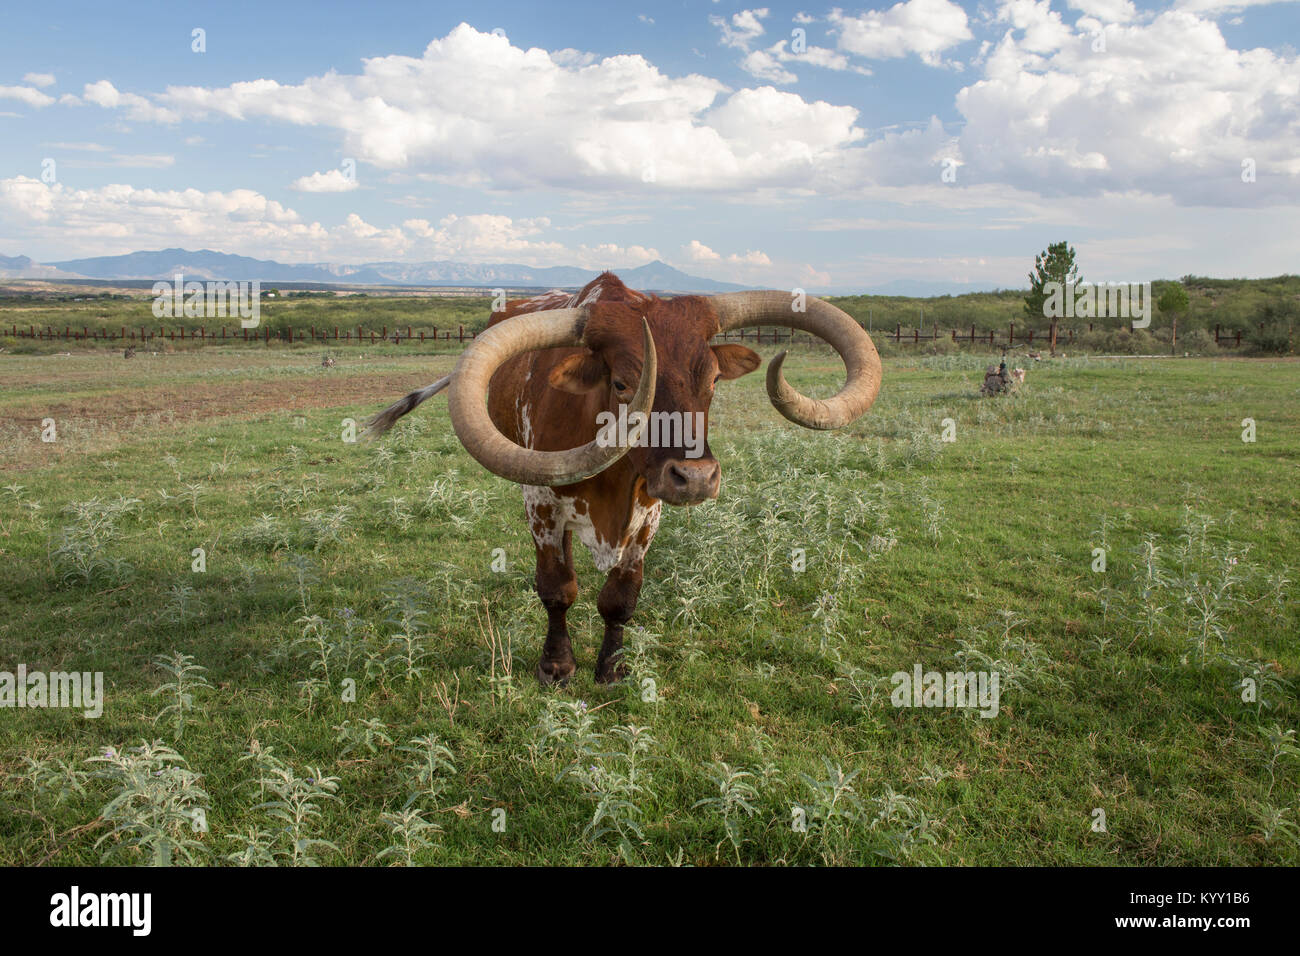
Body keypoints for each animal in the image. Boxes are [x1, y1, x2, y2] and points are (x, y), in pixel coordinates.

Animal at [366, 272, 882, 685]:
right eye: (620, 384)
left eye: (714, 380)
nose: (696, 478)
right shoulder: (540, 505)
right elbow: (557, 589)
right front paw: (556, 667)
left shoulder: (647, 514)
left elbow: (620, 599)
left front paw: (612, 669)